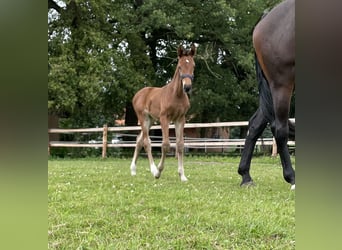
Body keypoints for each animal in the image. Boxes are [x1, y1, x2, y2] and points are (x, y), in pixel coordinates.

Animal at [130, 44, 196, 181]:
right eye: (180, 66)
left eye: (193, 66)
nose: (187, 87)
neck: (176, 95)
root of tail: (137, 94)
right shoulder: (164, 118)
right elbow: (165, 144)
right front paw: (159, 171)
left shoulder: (180, 119)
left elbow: (180, 145)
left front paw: (182, 175)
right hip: (144, 118)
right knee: (146, 142)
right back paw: (153, 169)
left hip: (151, 120)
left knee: (139, 140)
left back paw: (133, 170)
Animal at [236, 0, 296, 189]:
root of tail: (266, 18)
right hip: (281, 85)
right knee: (279, 129)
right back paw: (292, 177)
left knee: (256, 124)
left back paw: (246, 176)